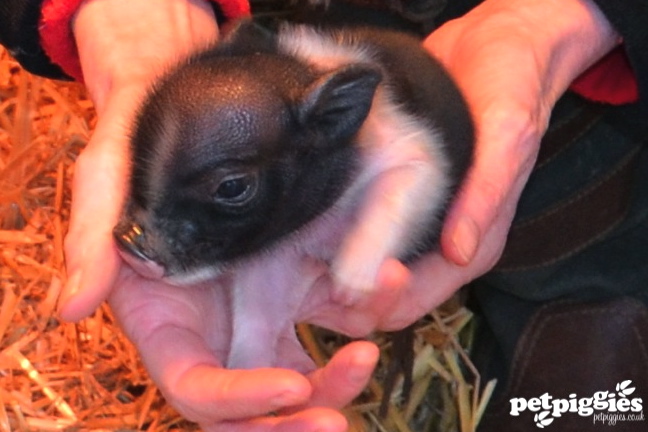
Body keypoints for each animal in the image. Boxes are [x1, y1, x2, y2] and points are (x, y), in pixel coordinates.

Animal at [113, 20, 473, 373]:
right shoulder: (274, 253)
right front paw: (247, 373)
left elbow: (396, 193)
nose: (126, 240)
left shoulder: (420, 162)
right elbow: (259, 305)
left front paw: (349, 290)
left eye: (231, 186)